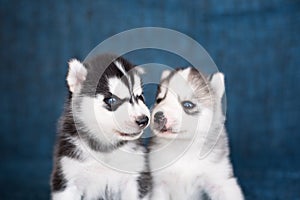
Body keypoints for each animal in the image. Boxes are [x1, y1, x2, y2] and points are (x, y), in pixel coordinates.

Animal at [50, 54, 152, 200]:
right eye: (112, 100)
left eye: (140, 97)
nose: (143, 120)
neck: (105, 150)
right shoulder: (67, 178)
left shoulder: (135, 177)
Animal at [149, 67, 244, 200]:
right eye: (159, 100)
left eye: (188, 104)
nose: (157, 116)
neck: (184, 148)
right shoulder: (159, 184)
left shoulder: (220, 179)